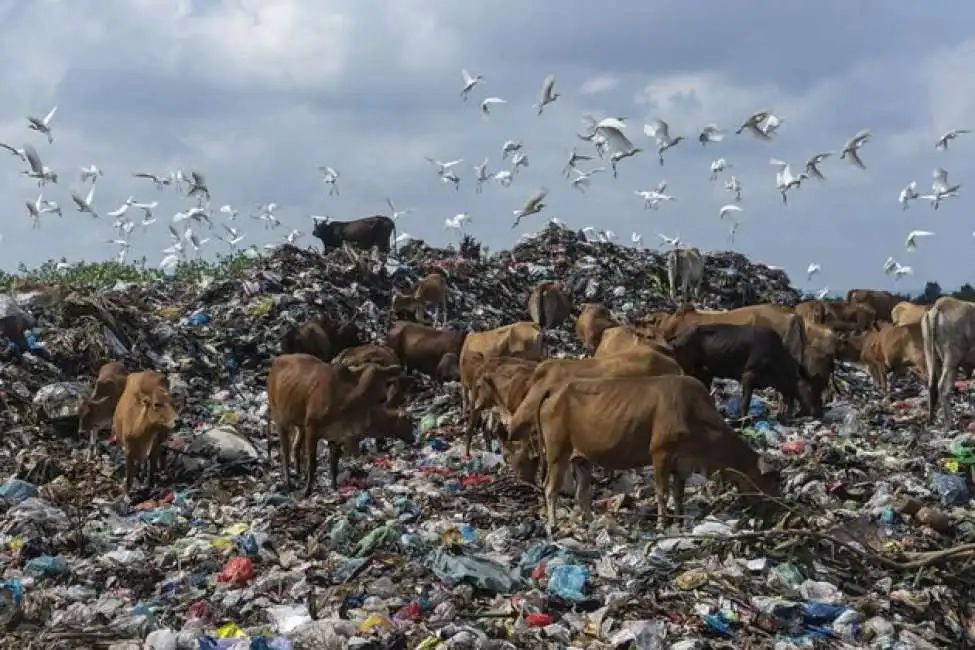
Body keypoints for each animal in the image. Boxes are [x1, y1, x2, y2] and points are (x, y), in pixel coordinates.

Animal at [264, 352, 398, 494]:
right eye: (370, 380)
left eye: (384, 379)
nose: (383, 398)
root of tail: (276, 361)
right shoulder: (312, 428)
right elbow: (312, 462)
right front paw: (307, 490)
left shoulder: (337, 434)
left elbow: (334, 462)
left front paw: (334, 487)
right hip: (280, 419)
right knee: (285, 452)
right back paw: (288, 482)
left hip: (299, 424)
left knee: (296, 447)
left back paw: (299, 474)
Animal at [508, 374, 780, 532]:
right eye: (771, 480)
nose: (777, 512)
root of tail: (554, 389)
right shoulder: (661, 453)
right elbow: (662, 492)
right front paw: (661, 525)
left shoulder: (682, 462)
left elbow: (679, 493)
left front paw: (679, 521)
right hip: (557, 451)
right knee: (550, 488)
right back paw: (553, 525)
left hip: (581, 457)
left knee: (582, 493)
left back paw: (592, 523)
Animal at [664, 322, 824, 418]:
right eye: (810, 388)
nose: (817, 412)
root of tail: (677, 337)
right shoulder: (748, 375)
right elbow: (745, 401)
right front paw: (743, 418)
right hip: (690, 368)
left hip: (705, 373)